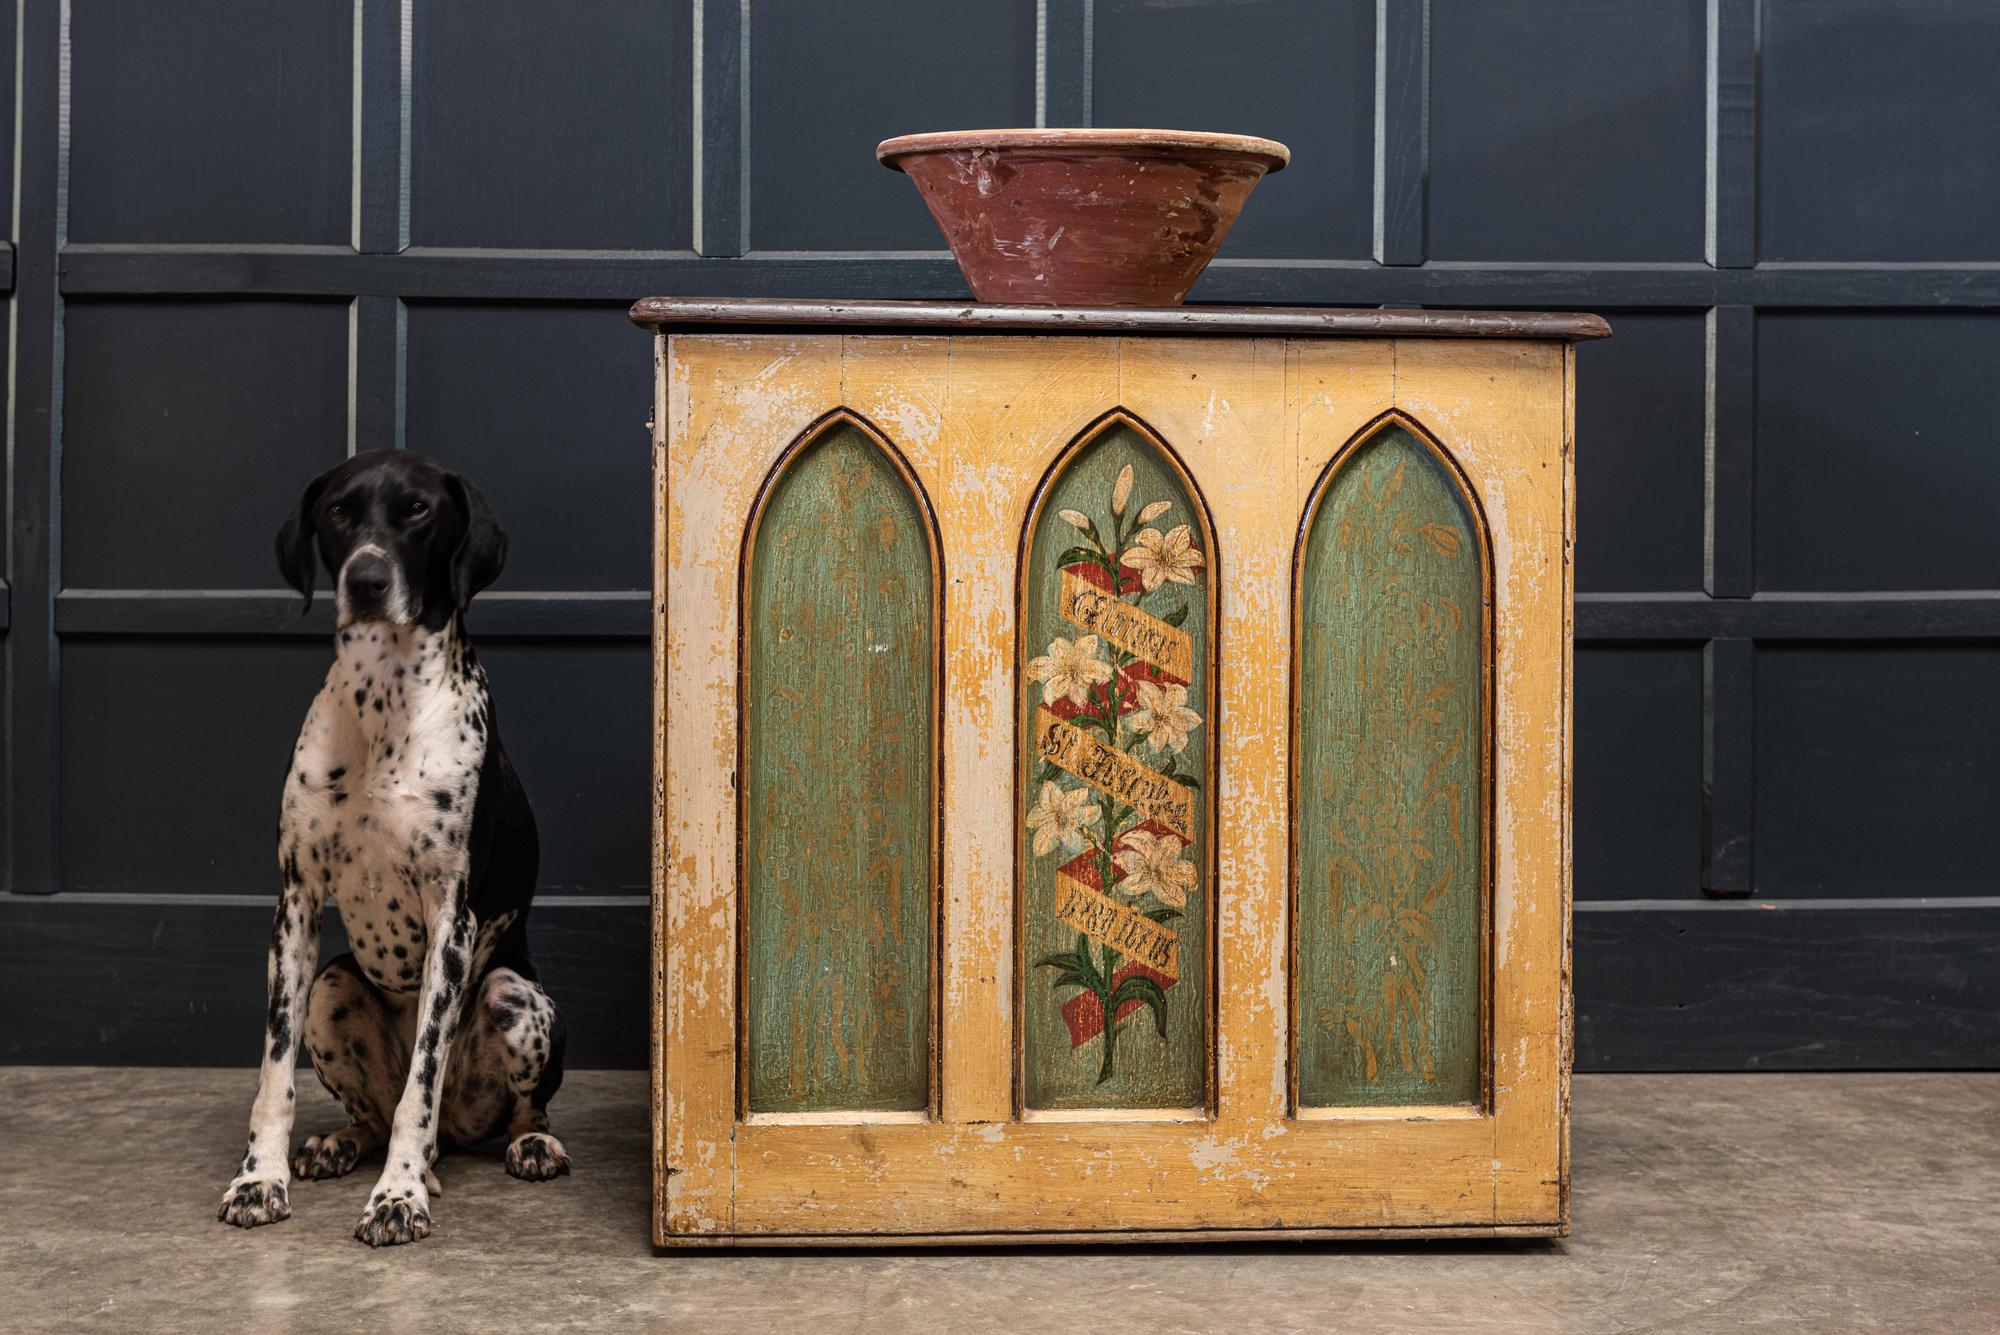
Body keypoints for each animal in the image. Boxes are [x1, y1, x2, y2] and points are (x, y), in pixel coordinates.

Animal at [219, 451, 572, 1255]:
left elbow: (423, 1079)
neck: (384, 701)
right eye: (338, 513)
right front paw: (259, 1179)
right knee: (373, 1113)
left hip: (515, 995)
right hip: (332, 988)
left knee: (508, 1107)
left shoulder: (453, 921)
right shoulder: (295, 904)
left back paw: (526, 1144)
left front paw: (399, 1197)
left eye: (417, 510)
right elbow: (273, 1074)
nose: (368, 579)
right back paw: (341, 1142)